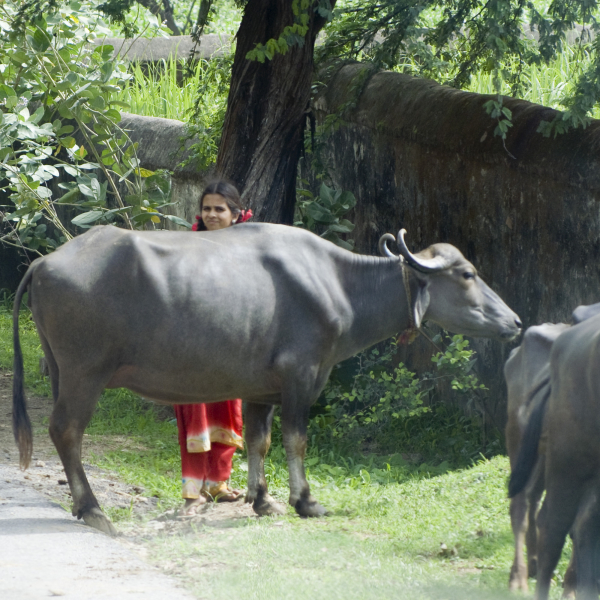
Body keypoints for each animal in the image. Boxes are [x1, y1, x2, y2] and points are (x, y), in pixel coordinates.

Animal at [12, 224, 520, 536]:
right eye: (467, 274)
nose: (515, 321)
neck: (338, 284)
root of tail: (44, 263)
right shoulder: (302, 376)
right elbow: (297, 440)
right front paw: (306, 501)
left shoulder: (260, 389)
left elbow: (259, 441)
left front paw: (262, 499)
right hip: (85, 373)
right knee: (67, 431)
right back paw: (93, 509)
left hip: (60, 372)